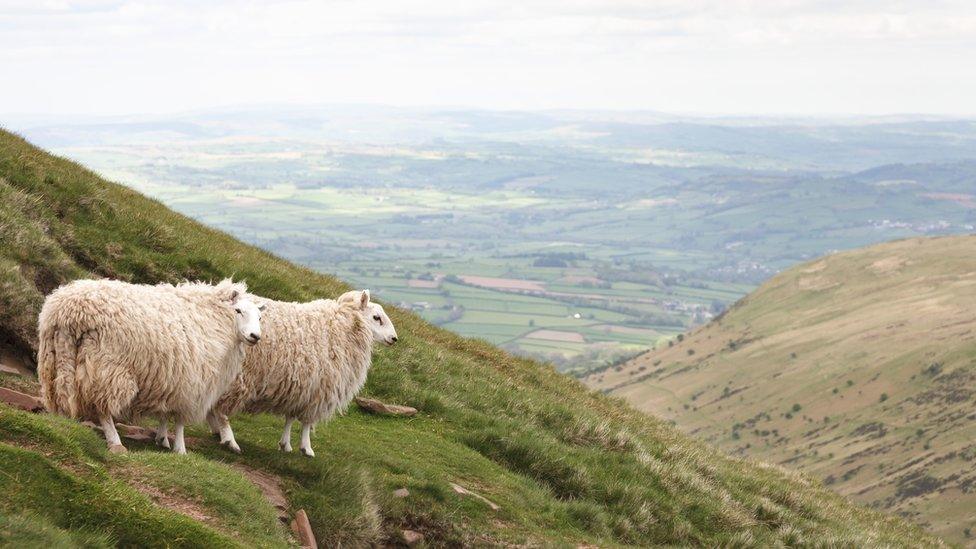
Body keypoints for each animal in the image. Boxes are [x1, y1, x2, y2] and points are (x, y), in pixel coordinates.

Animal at [37, 278, 262, 454]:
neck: (213, 317)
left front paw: (162, 439)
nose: (255, 336)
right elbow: (180, 420)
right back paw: (115, 442)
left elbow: (164, 412)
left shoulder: (171, 379)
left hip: (57, 358)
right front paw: (180, 449)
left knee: (63, 393)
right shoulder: (191, 383)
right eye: (238, 310)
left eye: (259, 317)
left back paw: (63, 423)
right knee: (104, 409)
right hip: (109, 367)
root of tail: (70, 311)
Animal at [208, 288, 398, 456]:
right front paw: (306, 448)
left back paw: (217, 430)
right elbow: (307, 421)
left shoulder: (300, 387)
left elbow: (291, 417)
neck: (343, 327)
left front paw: (285, 444)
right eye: (376, 317)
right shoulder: (318, 390)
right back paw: (229, 439)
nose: (394, 338)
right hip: (238, 376)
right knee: (222, 410)